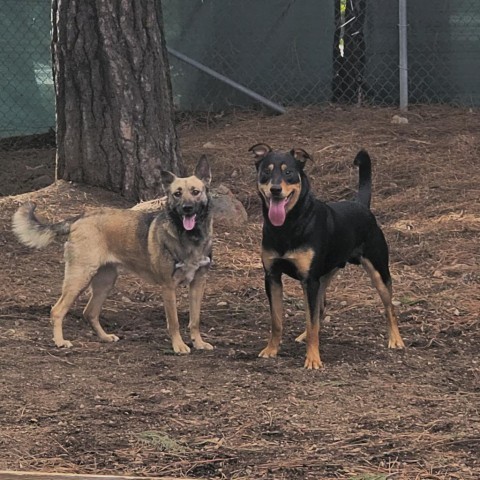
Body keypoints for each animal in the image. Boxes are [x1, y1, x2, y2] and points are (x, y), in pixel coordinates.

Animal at [12, 157, 214, 352]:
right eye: (177, 194)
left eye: (195, 192)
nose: (187, 208)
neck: (190, 237)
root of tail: (80, 217)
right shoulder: (168, 287)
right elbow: (174, 322)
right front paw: (179, 346)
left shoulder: (198, 284)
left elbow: (195, 321)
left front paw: (198, 343)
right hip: (80, 277)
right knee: (57, 310)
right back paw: (60, 342)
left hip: (105, 282)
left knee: (89, 312)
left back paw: (105, 337)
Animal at [251, 142, 404, 368]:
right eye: (266, 172)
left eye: (289, 172)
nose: (275, 189)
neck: (288, 226)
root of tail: (360, 204)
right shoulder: (272, 277)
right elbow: (277, 319)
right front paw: (271, 349)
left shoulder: (309, 280)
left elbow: (311, 320)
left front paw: (313, 359)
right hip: (324, 275)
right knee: (320, 308)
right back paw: (304, 335)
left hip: (378, 271)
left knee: (389, 307)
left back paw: (396, 339)